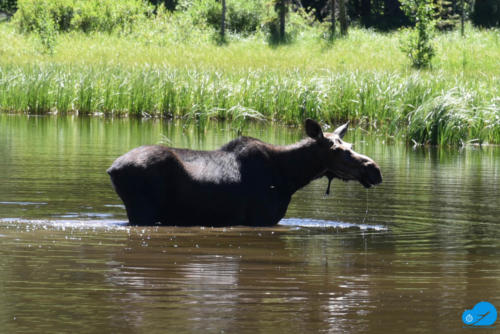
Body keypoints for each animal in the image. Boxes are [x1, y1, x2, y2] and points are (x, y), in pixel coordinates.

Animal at [107, 118, 380, 226]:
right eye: (337, 150)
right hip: (142, 211)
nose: (374, 169)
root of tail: (112, 169)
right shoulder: (261, 219)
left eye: (350, 145)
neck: (290, 178)